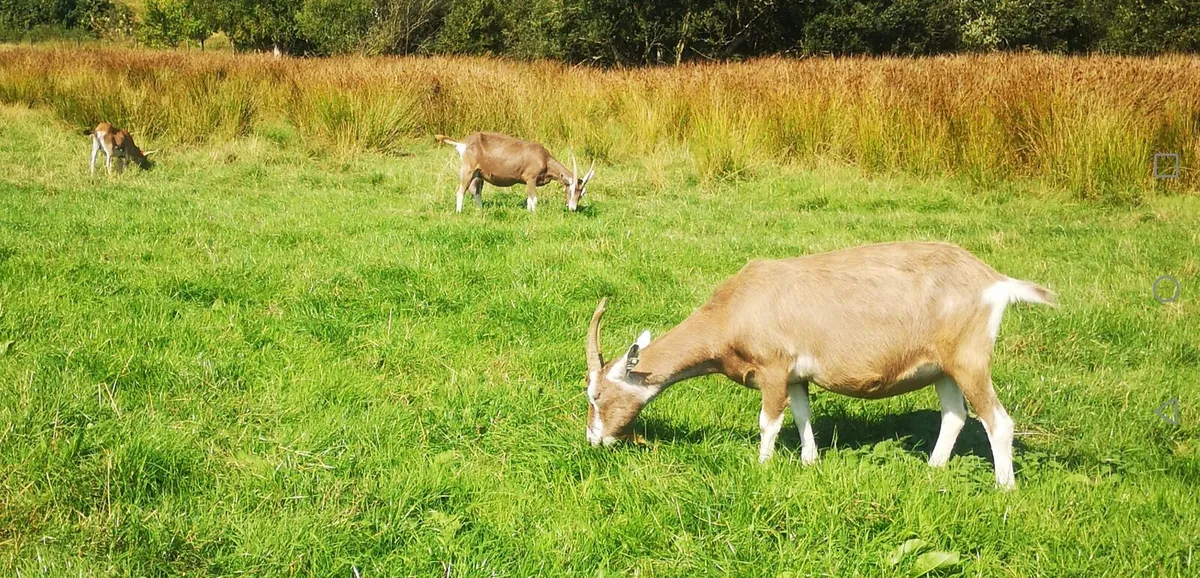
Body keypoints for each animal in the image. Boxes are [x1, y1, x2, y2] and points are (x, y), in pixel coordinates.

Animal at [435, 132, 594, 213]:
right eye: (571, 189)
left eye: (582, 193)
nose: (572, 208)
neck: (543, 157)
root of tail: (462, 143)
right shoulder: (530, 179)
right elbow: (533, 199)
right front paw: (533, 215)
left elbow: (529, 199)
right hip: (468, 170)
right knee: (460, 191)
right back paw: (459, 212)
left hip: (477, 174)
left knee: (475, 191)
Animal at [584, 241, 1057, 490]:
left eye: (596, 395)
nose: (593, 441)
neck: (735, 307)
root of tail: (993, 281)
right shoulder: (796, 378)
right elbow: (801, 414)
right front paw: (810, 462)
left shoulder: (774, 370)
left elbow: (769, 422)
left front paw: (762, 467)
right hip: (942, 369)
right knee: (955, 414)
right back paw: (933, 468)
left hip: (969, 362)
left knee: (998, 421)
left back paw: (1003, 487)